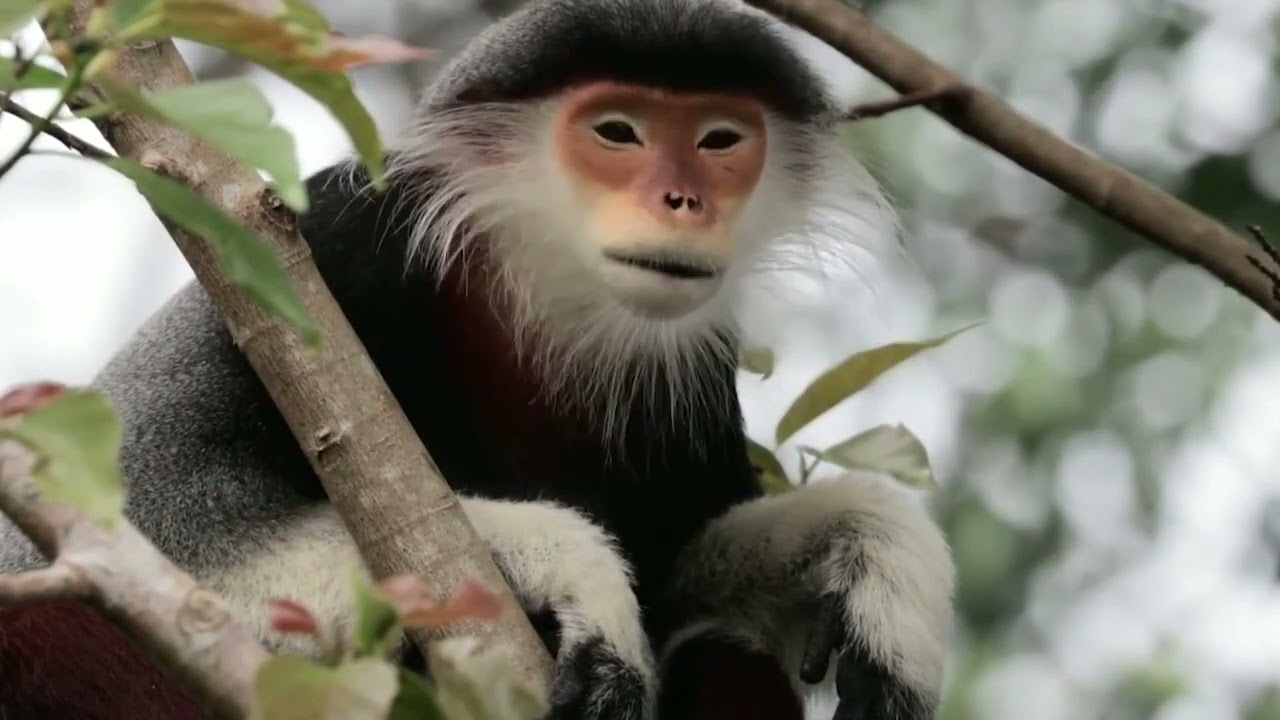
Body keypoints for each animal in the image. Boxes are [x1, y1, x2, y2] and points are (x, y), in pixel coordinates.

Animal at [0, 0, 955, 718]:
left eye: (720, 140)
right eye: (619, 131)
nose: (683, 202)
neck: (528, 298)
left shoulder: (695, 365)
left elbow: (683, 576)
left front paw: (876, 545)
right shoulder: (327, 243)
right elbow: (154, 525)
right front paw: (571, 568)